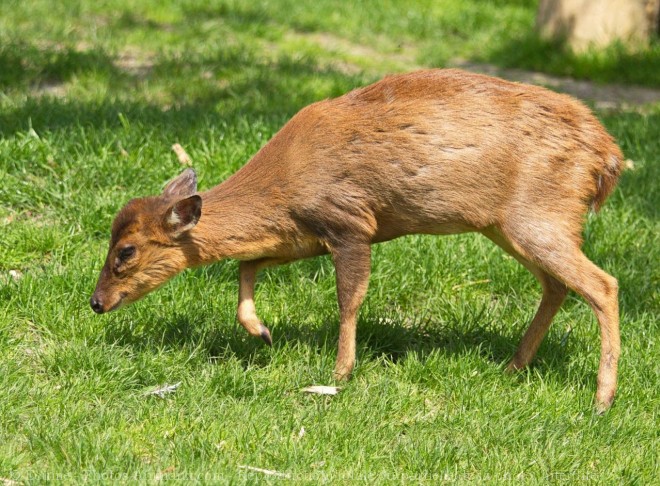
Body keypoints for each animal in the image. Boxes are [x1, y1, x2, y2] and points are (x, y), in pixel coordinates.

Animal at [89, 69, 624, 410]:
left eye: (125, 251)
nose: (95, 302)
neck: (284, 184)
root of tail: (608, 157)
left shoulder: (349, 221)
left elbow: (349, 299)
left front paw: (338, 374)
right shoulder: (300, 236)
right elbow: (246, 265)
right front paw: (262, 331)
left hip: (540, 214)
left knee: (603, 284)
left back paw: (601, 399)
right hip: (510, 223)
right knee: (558, 285)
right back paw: (512, 367)